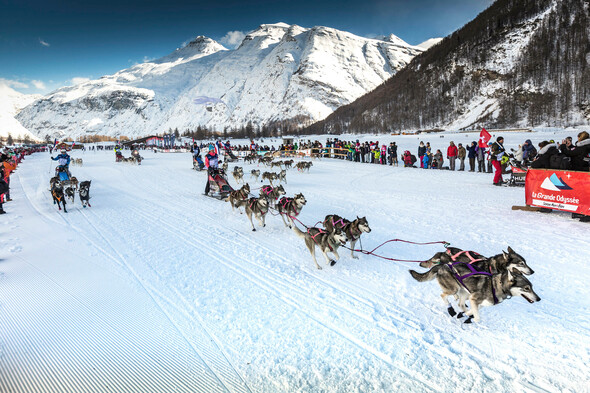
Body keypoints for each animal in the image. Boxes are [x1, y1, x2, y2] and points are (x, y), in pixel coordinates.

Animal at [412, 264, 540, 324]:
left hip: (464, 291)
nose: (539, 299)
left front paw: (464, 315)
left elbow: (471, 312)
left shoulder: (480, 304)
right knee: (443, 296)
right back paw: (450, 309)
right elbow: (477, 318)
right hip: (454, 289)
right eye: (526, 288)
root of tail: (444, 265)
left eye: (532, 287)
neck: (497, 285)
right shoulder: (474, 299)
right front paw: (470, 319)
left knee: (460, 304)